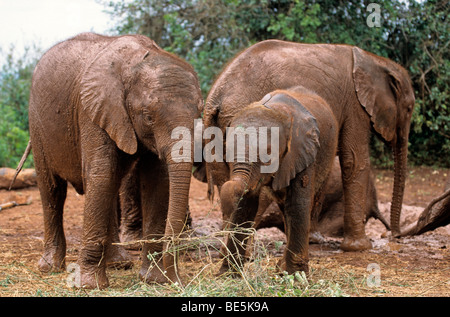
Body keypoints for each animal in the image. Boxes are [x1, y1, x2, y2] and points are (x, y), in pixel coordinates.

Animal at [28, 33, 202, 288]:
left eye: (199, 113)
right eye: (148, 117)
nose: (177, 280)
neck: (135, 62)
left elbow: (158, 182)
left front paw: (154, 280)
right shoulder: (92, 110)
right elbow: (102, 173)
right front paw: (89, 286)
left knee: (109, 186)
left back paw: (118, 264)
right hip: (37, 125)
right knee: (53, 190)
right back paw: (49, 267)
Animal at [204, 39, 414, 249]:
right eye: (410, 108)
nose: (393, 235)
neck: (377, 61)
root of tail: (215, 96)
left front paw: (314, 239)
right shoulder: (355, 105)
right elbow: (353, 160)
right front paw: (360, 247)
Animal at [217, 86, 338, 274]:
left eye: (268, 155)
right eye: (227, 151)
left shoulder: (302, 151)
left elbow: (297, 204)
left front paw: (296, 275)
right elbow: (246, 206)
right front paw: (227, 275)